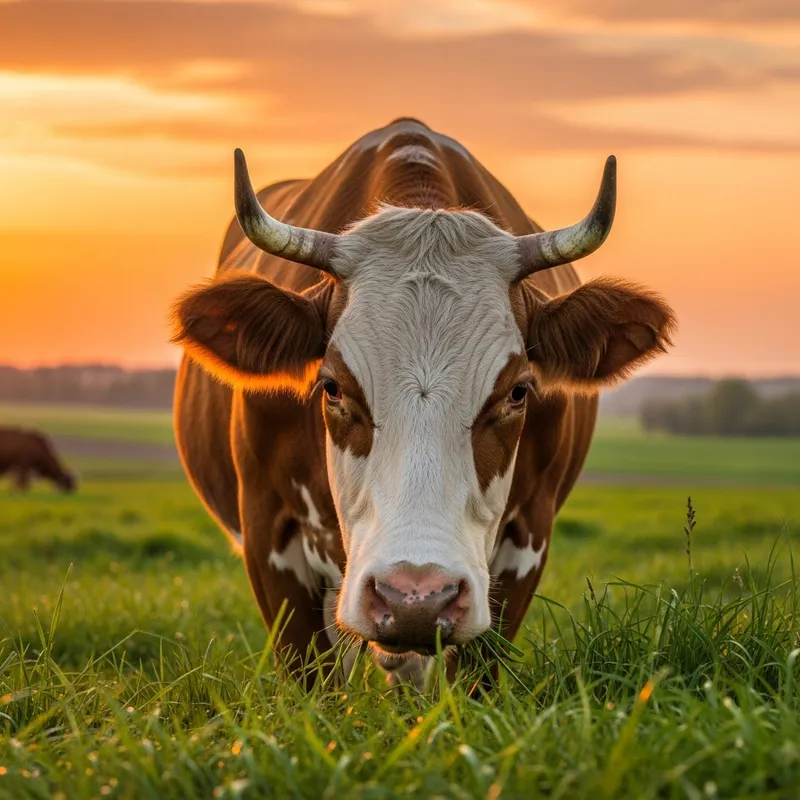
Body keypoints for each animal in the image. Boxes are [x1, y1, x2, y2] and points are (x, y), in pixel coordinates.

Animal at [172, 118, 675, 689]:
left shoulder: (528, 537)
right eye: (332, 387)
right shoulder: (267, 529)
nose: (416, 599)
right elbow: (310, 678)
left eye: (517, 391)